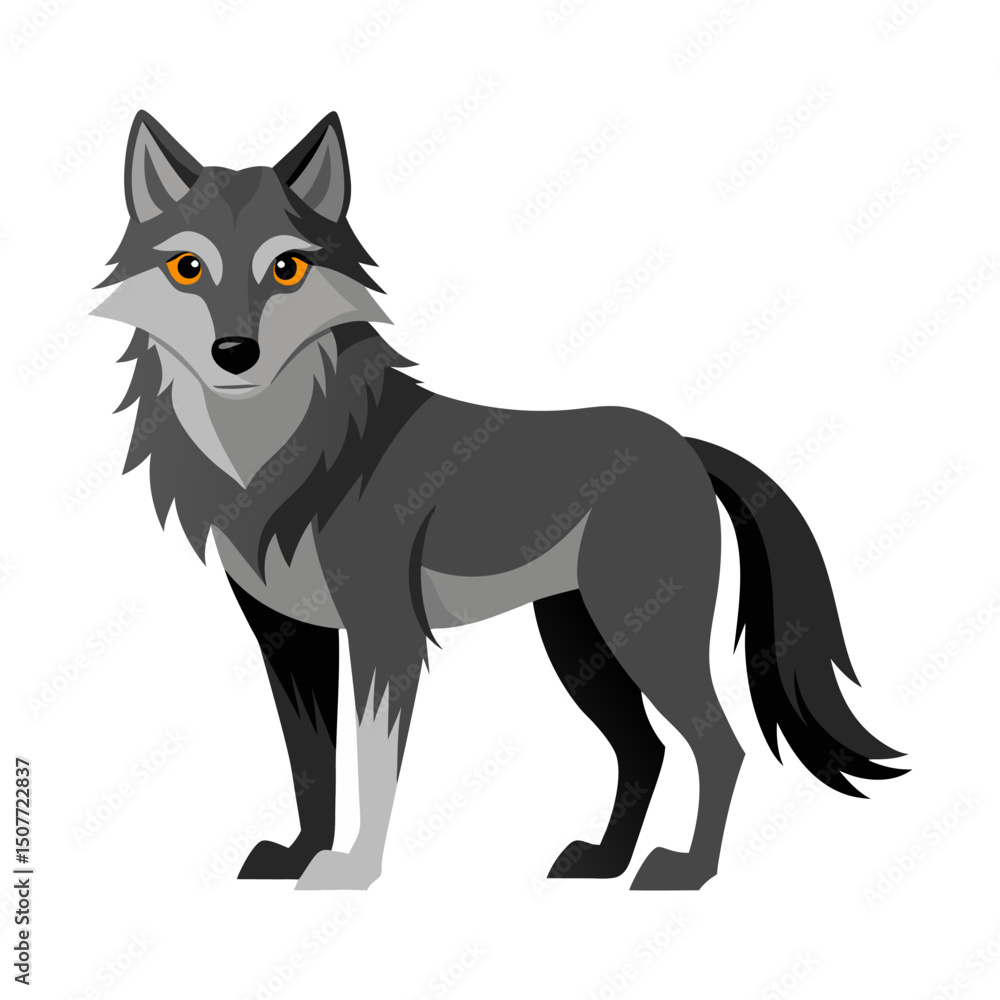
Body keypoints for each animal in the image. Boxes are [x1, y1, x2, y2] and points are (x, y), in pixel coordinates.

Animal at [94, 110, 906, 890]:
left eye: (286, 269)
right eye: (188, 268)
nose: (235, 353)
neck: (279, 458)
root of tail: (682, 443)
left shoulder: (384, 636)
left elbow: (372, 764)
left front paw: (353, 873)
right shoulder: (290, 639)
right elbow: (311, 768)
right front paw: (302, 855)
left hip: (644, 634)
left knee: (720, 747)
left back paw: (686, 872)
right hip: (579, 641)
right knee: (645, 750)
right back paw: (604, 863)